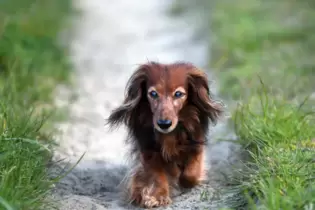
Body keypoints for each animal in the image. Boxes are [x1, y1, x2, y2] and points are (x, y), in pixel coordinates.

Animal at [107, 61, 223, 208]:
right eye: (153, 93)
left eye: (178, 94)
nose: (164, 124)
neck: (169, 134)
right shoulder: (149, 151)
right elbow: (158, 175)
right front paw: (157, 196)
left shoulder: (196, 144)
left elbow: (190, 174)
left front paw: (184, 178)